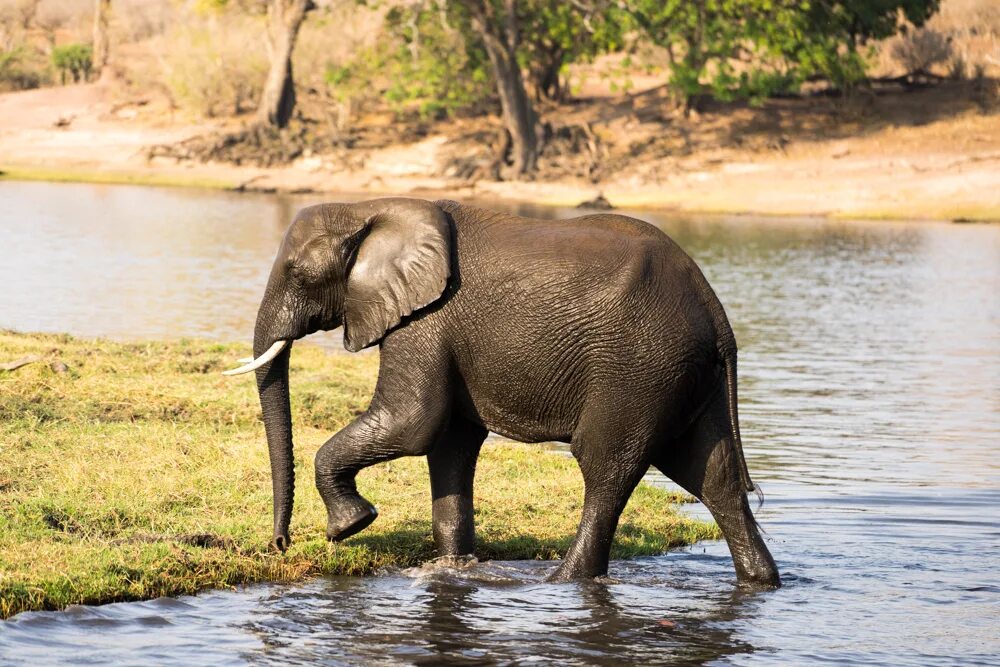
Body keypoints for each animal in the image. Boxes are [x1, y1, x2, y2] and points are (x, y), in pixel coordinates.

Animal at [225, 198, 780, 588]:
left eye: (298, 273)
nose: (281, 543)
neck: (370, 209)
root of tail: (716, 312)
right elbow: (449, 443)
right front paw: (453, 568)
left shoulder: (425, 322)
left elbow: (413, 422)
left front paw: (349, 527)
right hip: (682, 375)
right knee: (712, 476)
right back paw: (761, 582)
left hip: (638, 368)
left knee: (606, 468)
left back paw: (560, 581)